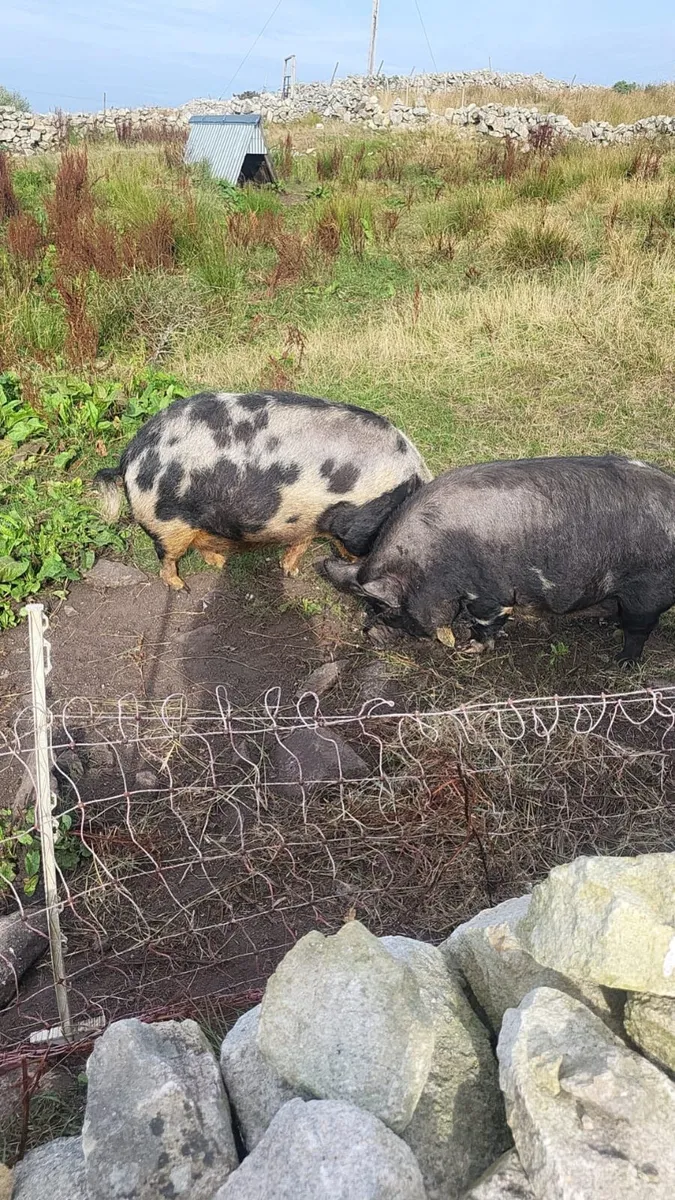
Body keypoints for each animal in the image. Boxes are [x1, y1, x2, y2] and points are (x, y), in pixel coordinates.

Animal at [94, 389, 431, 589]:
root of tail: (129, 456)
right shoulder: (352, 519)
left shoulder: (308, 519)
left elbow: (301, 543)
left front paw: (291, 572)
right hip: (167, 521)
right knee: (166, 557)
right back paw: (181, 586)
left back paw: (220, 562)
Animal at [322, 455, 675, 663]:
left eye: (387, 609)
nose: (368, 633)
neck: (429, 562)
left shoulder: (489, 592)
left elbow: (487, 621)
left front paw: (469, 649)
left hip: (647, 590)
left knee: (640, 628)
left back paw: (621, 661)